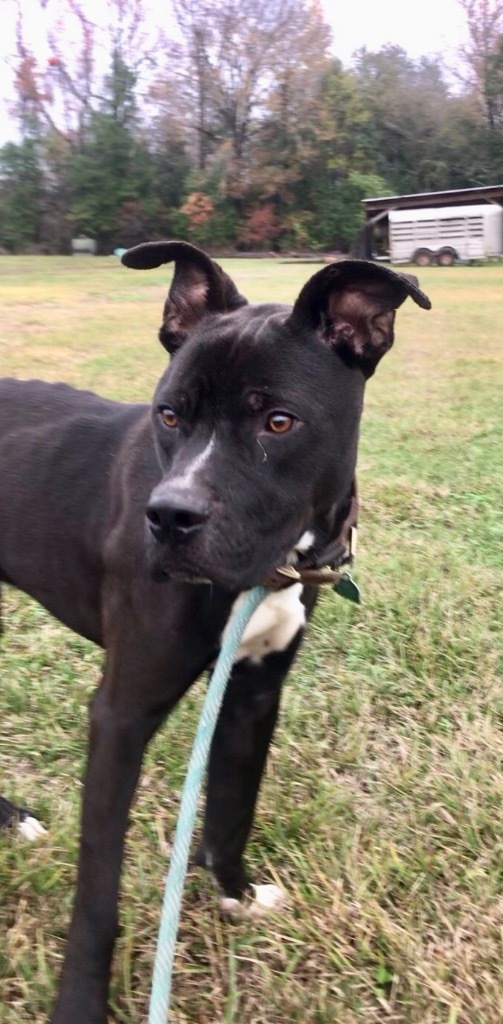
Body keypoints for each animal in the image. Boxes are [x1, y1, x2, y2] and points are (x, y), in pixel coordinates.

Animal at [0, 241, 432, 1024]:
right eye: (169, 415)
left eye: (279, 423)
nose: (170, 518)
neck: (273, 567)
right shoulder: (121, 715)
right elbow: (97, 891)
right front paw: (79, 1002)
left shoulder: (253, 693)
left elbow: (234, 804)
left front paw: (234, 896)